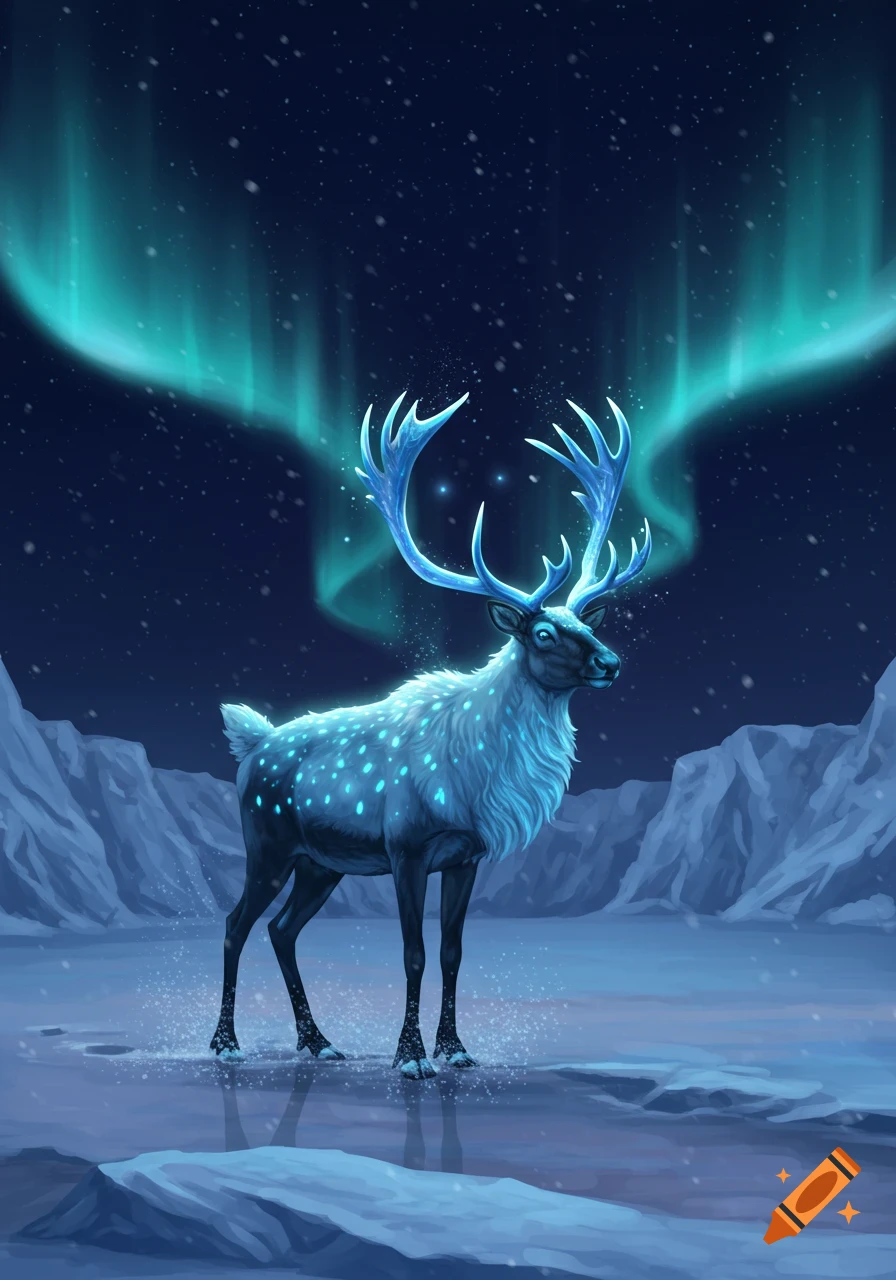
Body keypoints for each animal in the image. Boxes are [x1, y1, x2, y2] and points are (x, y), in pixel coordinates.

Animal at [210, 391, 650, 1079]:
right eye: (542, 633)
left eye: (587, 622)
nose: (611, 662)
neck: (479, 780)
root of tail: (250, 741)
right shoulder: (407, 847)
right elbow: (413, 952)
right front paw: (411, 1057)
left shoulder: (466, 856)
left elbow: (451, 952)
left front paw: (456, 1049)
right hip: (270, 843)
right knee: (235, 924)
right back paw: (226, 1043)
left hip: (320, 863)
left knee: (282, 930)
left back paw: (319, 1040)